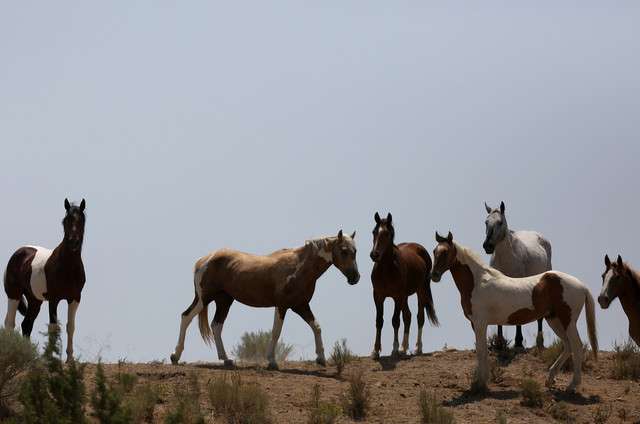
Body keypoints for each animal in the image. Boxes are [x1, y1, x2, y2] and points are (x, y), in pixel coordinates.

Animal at [4, 199, 87, 362]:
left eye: (81, 220)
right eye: (65, 220)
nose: (73, 242)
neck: (68, 267)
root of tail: (18, 253)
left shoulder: (74, 299)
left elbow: (70, 326)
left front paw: (70, 359)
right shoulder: (54, 299)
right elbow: (53, 327)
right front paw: (50, 358)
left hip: (35, 300)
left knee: (26, 325)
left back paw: (28, 356)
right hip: (14, 295)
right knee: (10, 323)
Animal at [170, 230, 360, 369]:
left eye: (355, 251)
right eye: (344, 251)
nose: (355, 277)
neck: (298, 267)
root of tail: (205, 260)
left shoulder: (301, 306)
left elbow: (317, 327)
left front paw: (321, 358)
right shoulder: (282, 306)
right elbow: (276, 332)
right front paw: (272, 361)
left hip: (224, 301)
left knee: (216, 326)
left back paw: (226, 359)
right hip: (205, 299)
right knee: (186, 317)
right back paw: (175, 356)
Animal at [369, 212, 438, 358]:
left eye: (387, 233)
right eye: (374, 231)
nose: (374, 254)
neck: (386, 270)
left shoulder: (397, 297)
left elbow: (395, 321)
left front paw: (394, 349)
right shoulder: (378, 296)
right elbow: (379, 320)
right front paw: (376, 351)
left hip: (420, 290)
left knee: (419, 317)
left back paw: (417, 348)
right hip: (405, 296)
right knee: (408, 316)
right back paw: (404, 347)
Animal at [431, 231, 597, 392]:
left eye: (445, 252)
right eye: (434, 251)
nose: (434, 275)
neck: (477, 282)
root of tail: (582, 286)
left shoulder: (480, 323)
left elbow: (481, 350)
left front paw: (480, 384)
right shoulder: (476, 324)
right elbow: (483, 351)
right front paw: (481, 381)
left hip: (567, 321)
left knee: (576, 346)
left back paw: (572, 385)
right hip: (554, 320)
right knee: (568, 346)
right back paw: (550, 380)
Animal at [483, 201, 552, 349]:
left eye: (500, 222)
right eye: (486, 222)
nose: (487, 246)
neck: (506, 259)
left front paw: (518, 342)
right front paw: (499, 342)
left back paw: (540, 342)